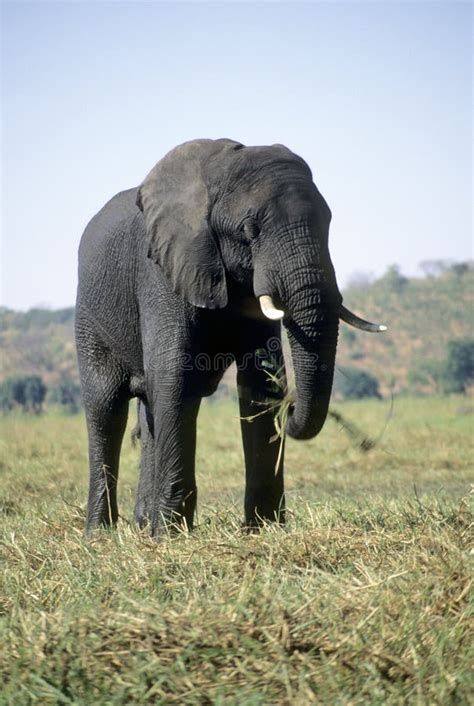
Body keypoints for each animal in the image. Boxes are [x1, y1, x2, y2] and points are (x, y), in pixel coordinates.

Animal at [75, 138, 386, 536]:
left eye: (329, 221)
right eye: (250, 230)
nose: (364, 442)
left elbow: (259, 379)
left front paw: (263, 529)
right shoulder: (162, 271)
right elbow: (175, 377)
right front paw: (172, 537)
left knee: (146, 411)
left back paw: (143, 526)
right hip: (90, 316)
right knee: (106, 409)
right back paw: (100, 535)